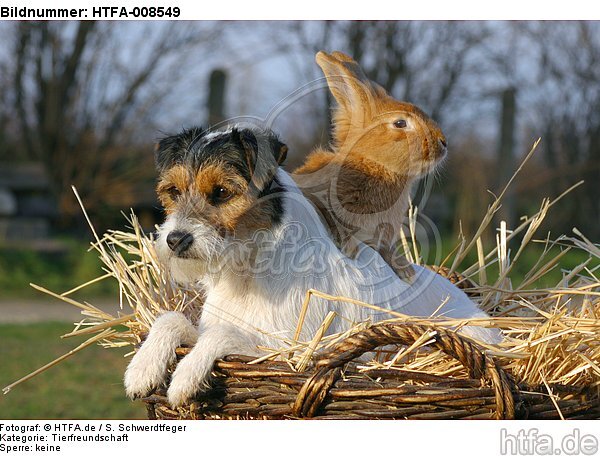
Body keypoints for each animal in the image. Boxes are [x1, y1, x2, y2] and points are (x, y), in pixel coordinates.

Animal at [125, 124, 502, 406]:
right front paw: (142, 368)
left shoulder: (289, 352)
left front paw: (185, 376)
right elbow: (171, 319)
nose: (175, 240)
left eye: (220, 192)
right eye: (173, 191)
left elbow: (224, 334)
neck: (248, 271)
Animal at [292, 51, 448, 284]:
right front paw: (350, 249)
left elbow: (386, 250)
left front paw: (405, 271)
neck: (375, 165)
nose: (444, 143)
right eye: (400, 123)